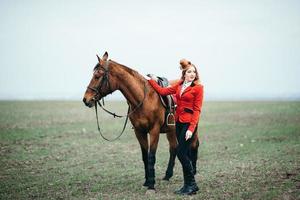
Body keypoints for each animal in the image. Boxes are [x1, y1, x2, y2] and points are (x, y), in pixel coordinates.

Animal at [82, 52, 199, 191]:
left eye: (97, 76)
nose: (86, 99)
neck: (143, 99)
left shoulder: (154, 131)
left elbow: (151, 156)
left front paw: (151, 185)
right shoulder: (139, 132)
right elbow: (144, 157)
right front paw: (147, 181)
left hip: (192, 128)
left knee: (193, 145)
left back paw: (193, 171)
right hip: (171, 130)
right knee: (174, 147)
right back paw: (168, 175)